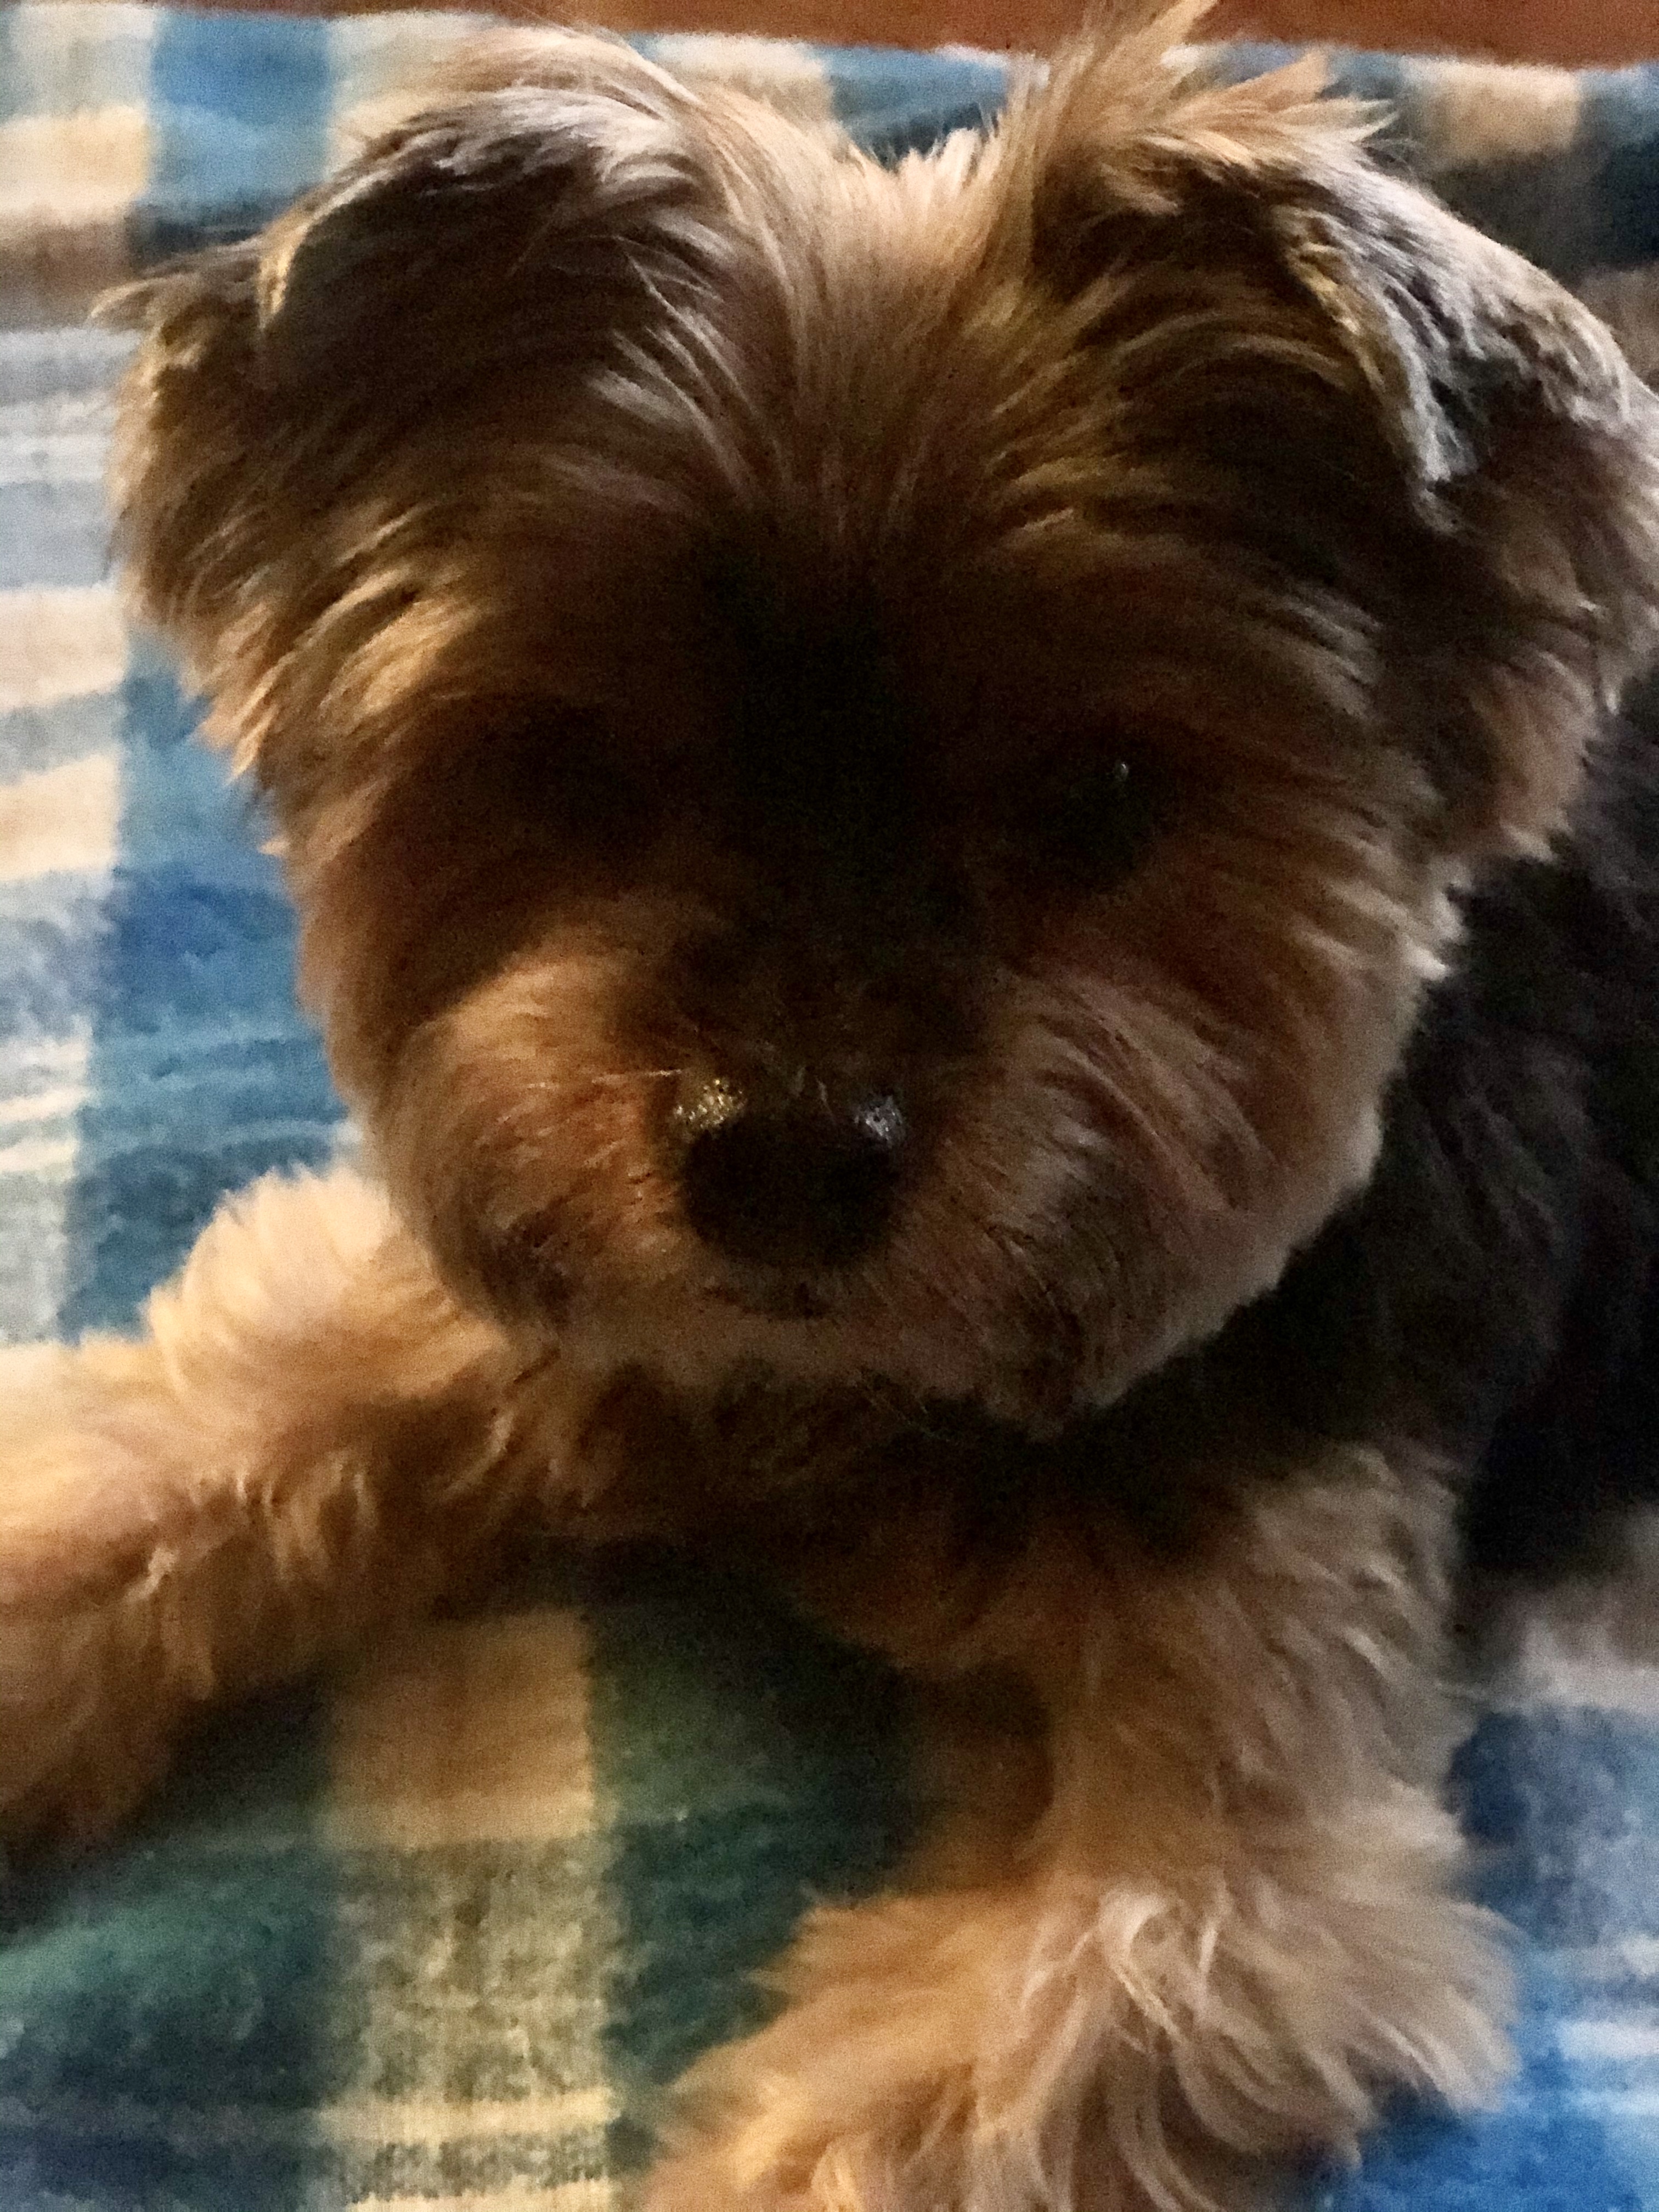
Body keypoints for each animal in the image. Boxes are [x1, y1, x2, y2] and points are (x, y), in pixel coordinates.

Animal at [4, 6, 1659, 2205]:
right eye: (575, 764)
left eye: (1101, 798)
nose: (781, 1164)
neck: (878, 1383)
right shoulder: (550, 1257)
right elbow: (215, 1421)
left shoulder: (1264, 1822)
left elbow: (1069, 2008)